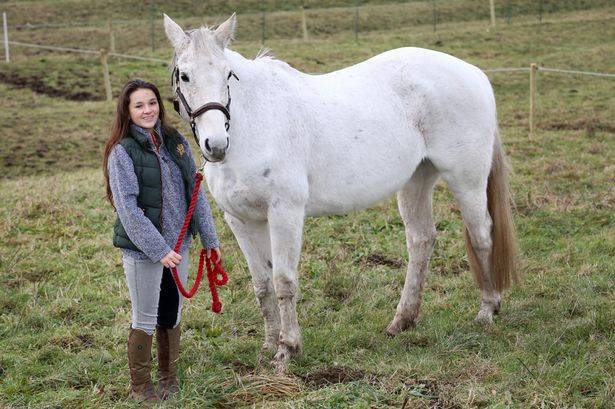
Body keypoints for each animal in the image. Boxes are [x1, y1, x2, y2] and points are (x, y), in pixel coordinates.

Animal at [164, 13, 520, 370]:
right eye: (185, 75)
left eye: (228, 74)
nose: (216, 145)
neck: (254, 124)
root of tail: (474, 73)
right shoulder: (240, 220)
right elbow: (262, 285)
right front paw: (268, 345)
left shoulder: (285, 212)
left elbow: (283, 282)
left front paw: (287, 349)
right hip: (416, 180)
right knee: (421, 240)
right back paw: (402, 321)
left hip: (466, 179)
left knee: (482, 235)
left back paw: (487, 309)